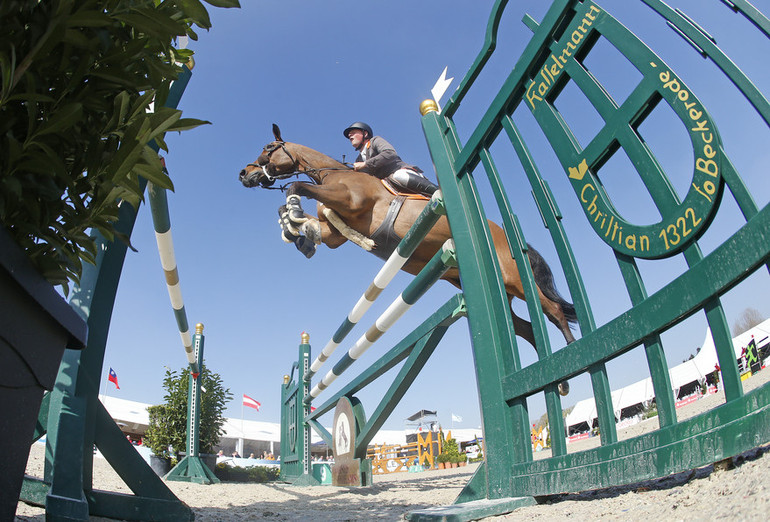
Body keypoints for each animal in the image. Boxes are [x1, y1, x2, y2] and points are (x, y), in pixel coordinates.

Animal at [240, 126, 576, 392]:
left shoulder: (351, 201)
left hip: (514, 277)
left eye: (268, 148)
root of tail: (503, 232)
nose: (244, 173)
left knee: (554, 311)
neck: (335, 174)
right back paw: (548, 374)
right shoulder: (334, 233)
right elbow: (312, 224)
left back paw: (570, 361)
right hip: (497, 289)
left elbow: (299, 187)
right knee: (527, 328)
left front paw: (294, 214)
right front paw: (296, 232)